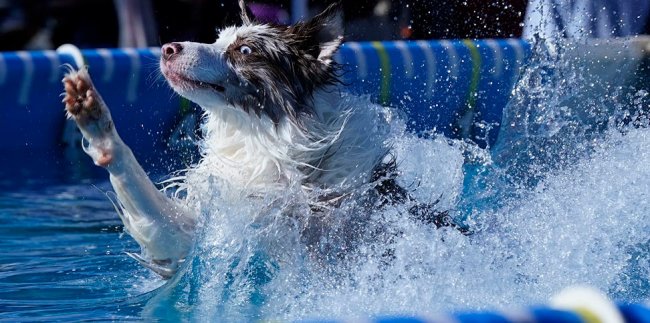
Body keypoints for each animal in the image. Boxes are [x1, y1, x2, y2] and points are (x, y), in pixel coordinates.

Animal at [62, 0, 456, 278]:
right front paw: (95, 121)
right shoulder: (198, 235)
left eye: (245, 50)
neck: (271, 145)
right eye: (216, 39)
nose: (168, 48)